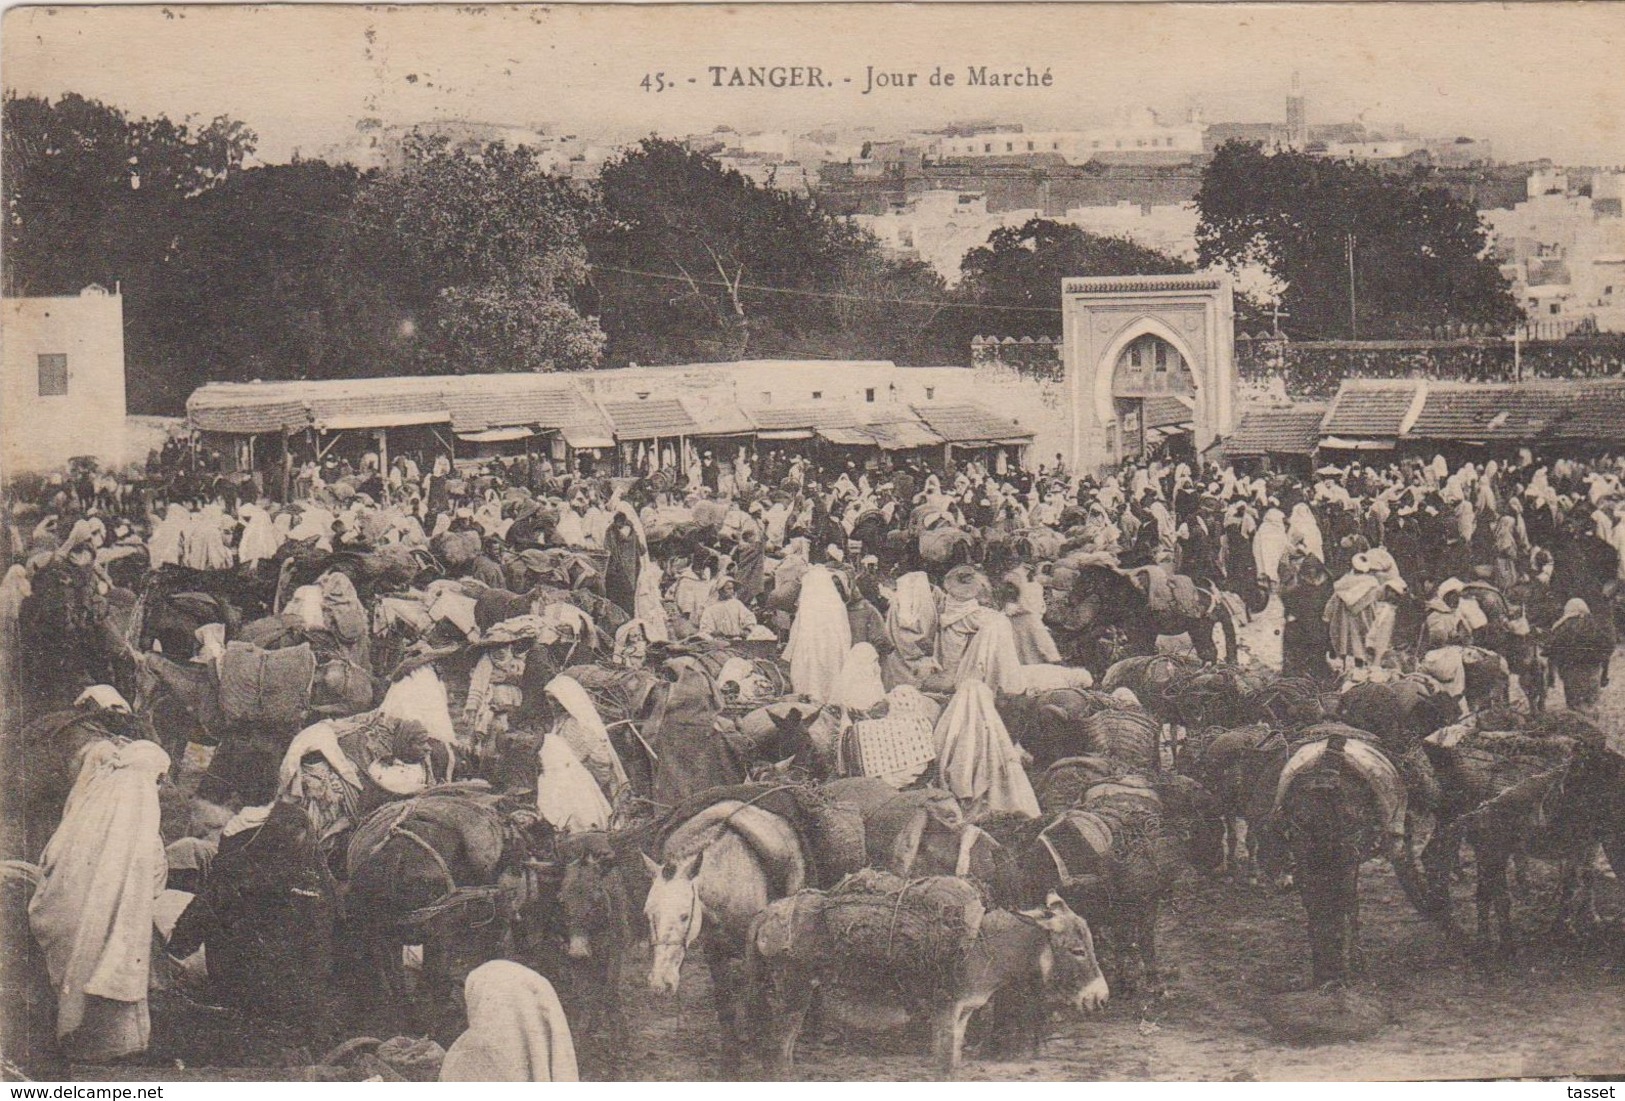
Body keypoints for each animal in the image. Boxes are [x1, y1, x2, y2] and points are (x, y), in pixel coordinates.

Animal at [640, 802, 806, 1078]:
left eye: (685, 916)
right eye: (648, 914)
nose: (660, 984)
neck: (729, 884)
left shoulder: (753, 958)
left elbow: (758, 1005)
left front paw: (768, 1061)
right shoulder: (714, 952)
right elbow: (725, 1004)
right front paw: (730, 1063)